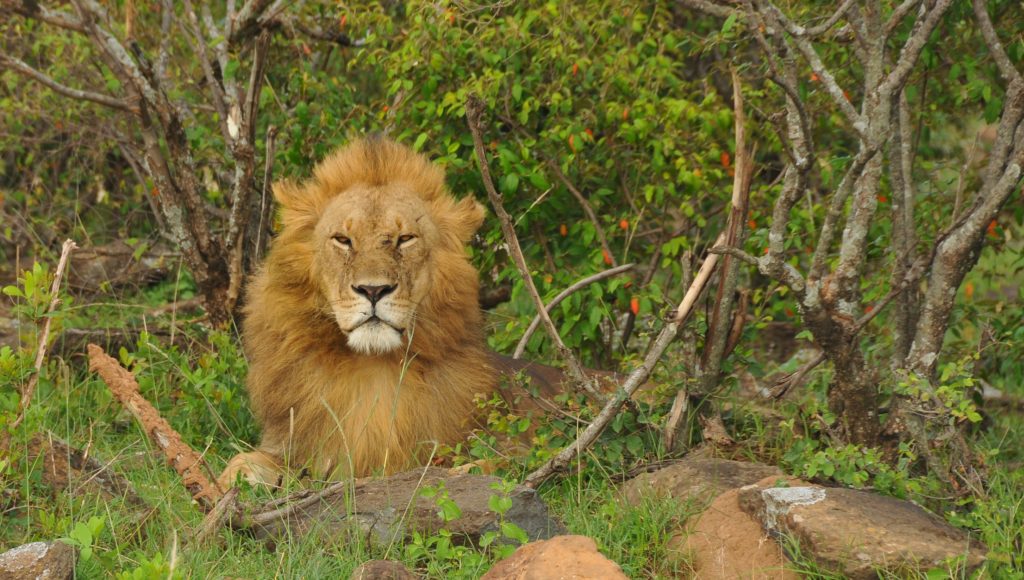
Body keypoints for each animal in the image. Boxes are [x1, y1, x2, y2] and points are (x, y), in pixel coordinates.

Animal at [220, 138, 503, 489]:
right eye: (343, 240)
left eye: (405, 239)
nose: (373, 290)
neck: (372, 367)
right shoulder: (288, 445)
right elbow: (238, 463)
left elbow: (486, 466)